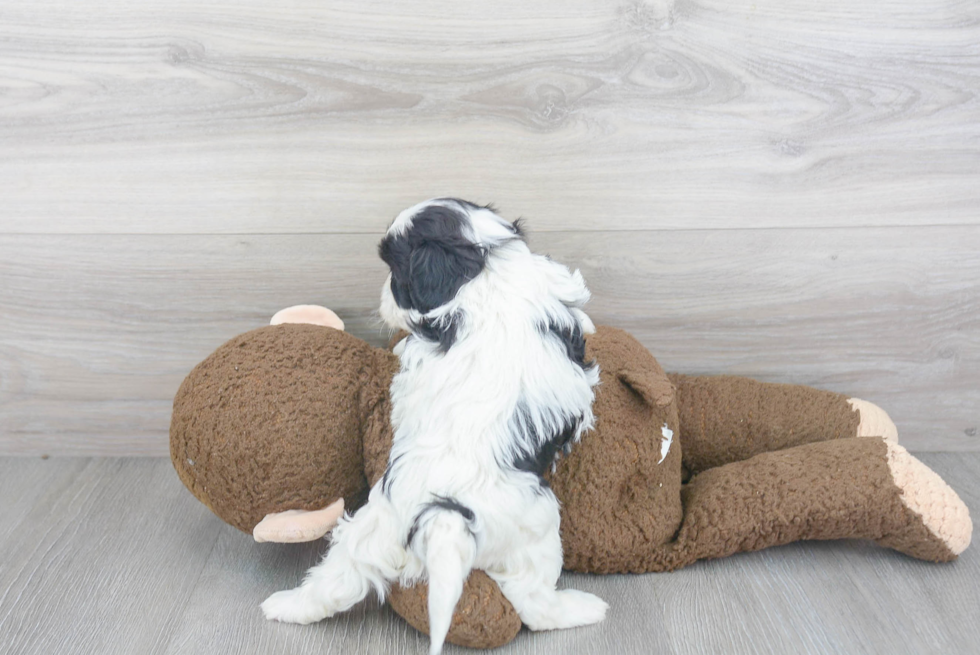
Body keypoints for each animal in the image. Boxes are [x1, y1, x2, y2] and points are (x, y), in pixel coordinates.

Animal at [264, 197, 608, 652]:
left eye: (395, 275)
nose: (383, 297)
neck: (481, 268)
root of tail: (444, 512)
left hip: (373, 531)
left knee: (338, 581)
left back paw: (284, 606)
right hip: (539, 526)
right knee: (533, 602)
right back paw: (584, 609)